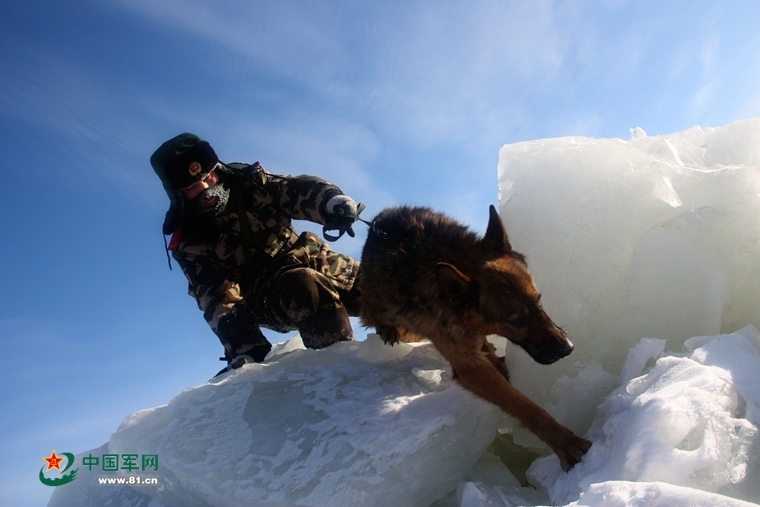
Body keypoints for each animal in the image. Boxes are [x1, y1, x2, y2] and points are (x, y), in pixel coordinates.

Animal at [360, 205, 592, 472]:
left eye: (539, 300)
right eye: (517, 320)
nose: (567, 349)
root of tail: (376, 222)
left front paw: (495, 359)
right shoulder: (468, 366)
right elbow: (525, 407)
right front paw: (564, 442)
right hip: (377, 302)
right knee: (373, 311)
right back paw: (387, 328)